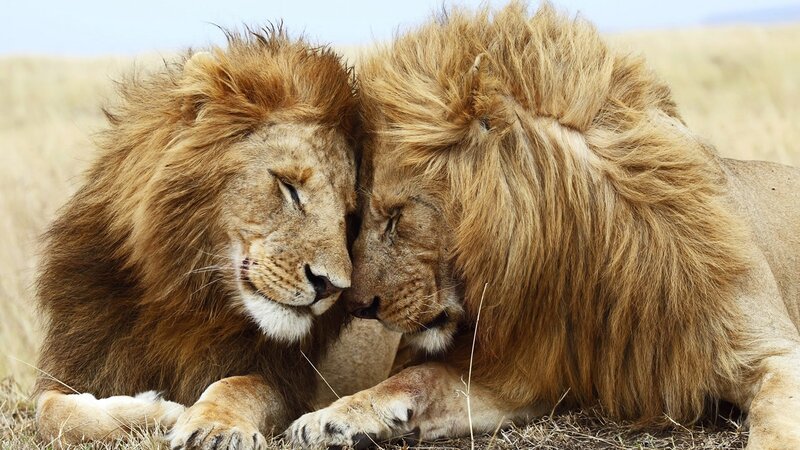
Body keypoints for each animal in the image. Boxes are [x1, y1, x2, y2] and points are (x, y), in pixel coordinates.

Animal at [34, 28, 399, 449]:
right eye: (289, 186)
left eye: (349, 216)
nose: (330, 286)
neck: (186, 297)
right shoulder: (80, 361)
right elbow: (53, 413)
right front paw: (156, 411)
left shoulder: (285, 382)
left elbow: (237, 386)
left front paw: (213, 426)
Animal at [288, 4, 800, 449]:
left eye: (395, 215)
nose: (357, 307)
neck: (583, 251)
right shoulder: (525, 372)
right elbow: (419, 377)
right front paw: (331, 418)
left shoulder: (774, 352)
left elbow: (775, 425)